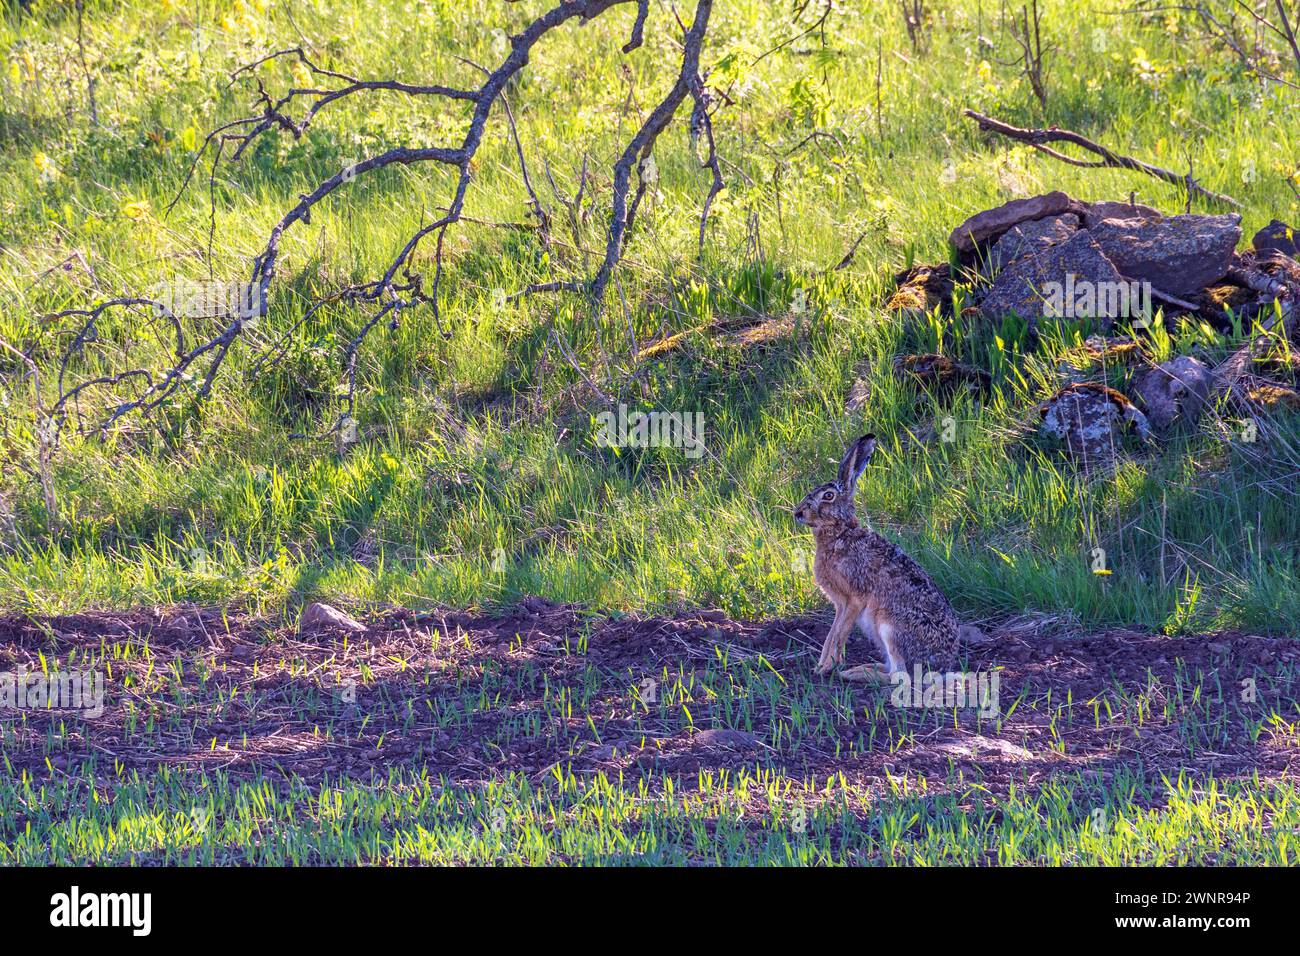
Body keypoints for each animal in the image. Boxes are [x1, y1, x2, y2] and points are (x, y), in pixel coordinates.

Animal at [793, 434, 964, 680]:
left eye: (828, 496)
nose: (798, 513)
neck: (841, 532)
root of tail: (943, 666)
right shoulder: (840, 604)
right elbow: (831, 635)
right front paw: (821, 666)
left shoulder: (853, 599)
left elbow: (839, 634)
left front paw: (827, 668)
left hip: (889, 626)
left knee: (899, 675)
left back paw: (854, 674)